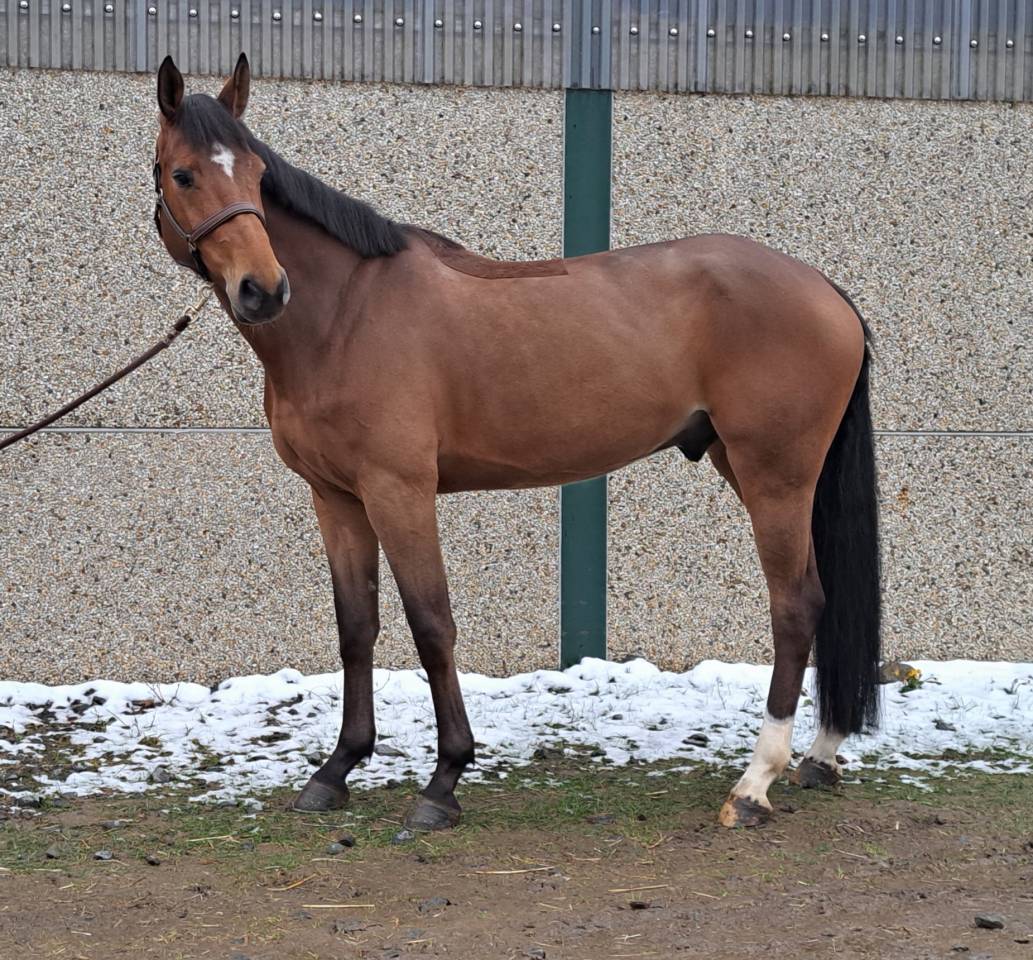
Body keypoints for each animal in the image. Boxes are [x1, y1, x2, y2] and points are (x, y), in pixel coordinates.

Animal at [151, 53, 881, 831]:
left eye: (258, 175)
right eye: (184, 174)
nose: (263, 289)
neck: (344, 314)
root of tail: (824, 288)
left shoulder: (399, 492)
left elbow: (431, 625)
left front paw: (443, 781)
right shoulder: (336, 498)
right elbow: (357, 627)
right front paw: (337, 769)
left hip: (774, 475)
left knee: (795, 605)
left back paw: (753, 784)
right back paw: (818, 756)